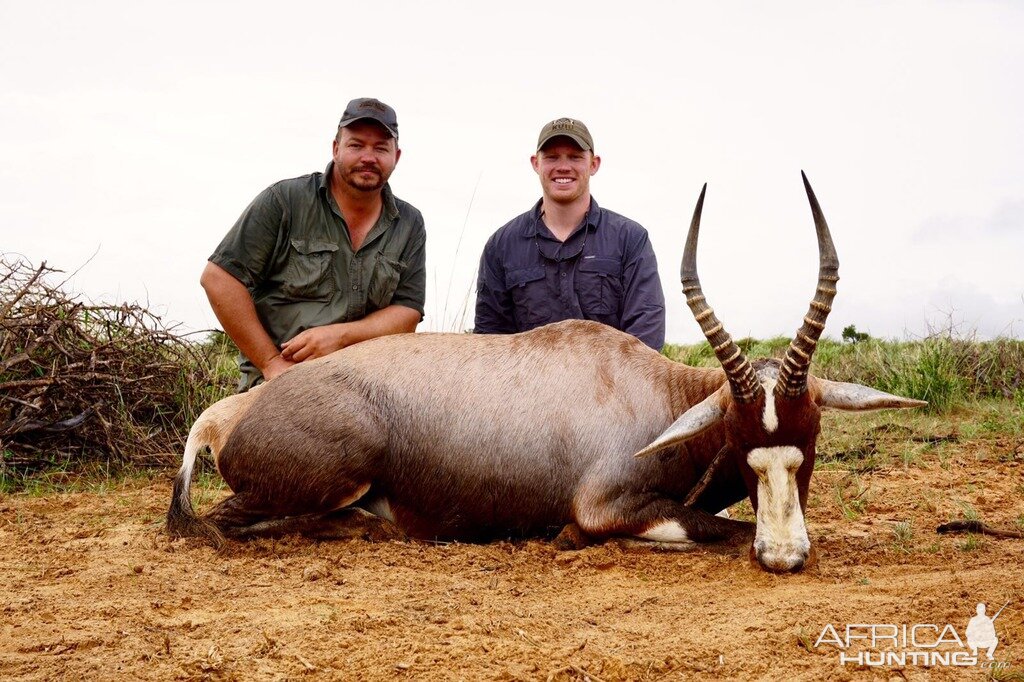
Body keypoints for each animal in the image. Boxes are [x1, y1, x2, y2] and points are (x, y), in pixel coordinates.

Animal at [169, 171, 929, 569]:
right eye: (743, 444)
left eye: (811, 438)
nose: (785, 556)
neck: (652, 390)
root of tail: (228, 417)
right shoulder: (603, 508)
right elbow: (713, 528)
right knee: (225, 524)